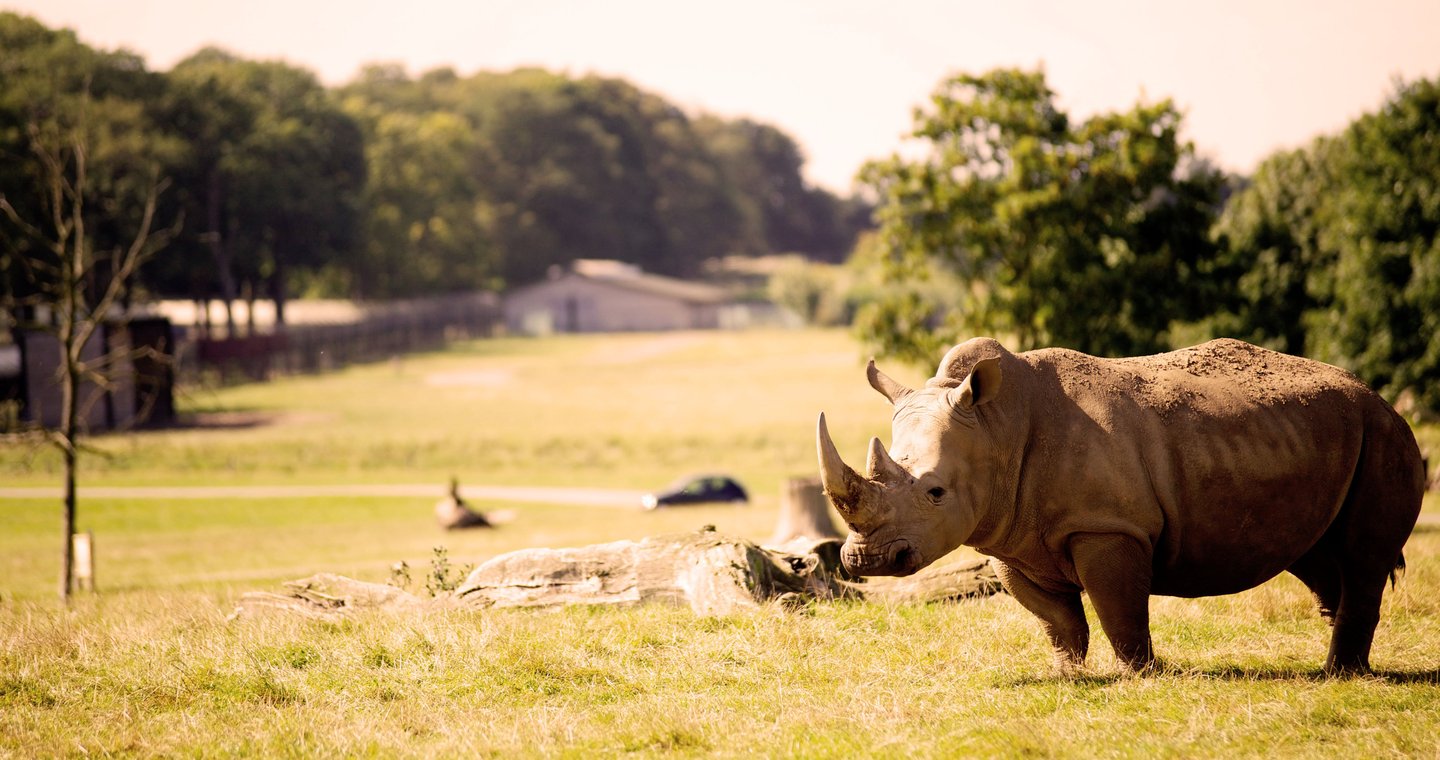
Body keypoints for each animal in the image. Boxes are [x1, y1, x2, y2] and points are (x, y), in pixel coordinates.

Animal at [817, 337, 1424, 674]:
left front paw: (1140, 673)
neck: (997, 427)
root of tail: (1380, 398)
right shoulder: (1012, 538)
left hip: (1384, 434)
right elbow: (1057, 618)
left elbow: (1119, 607)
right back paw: (1335, 647)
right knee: (1317, 551)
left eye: (935, 492)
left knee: (1363, 555)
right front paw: (1066, 673)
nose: (864, 561)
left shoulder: (1109, 527)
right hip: (1322, 436)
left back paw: (1339, 674)